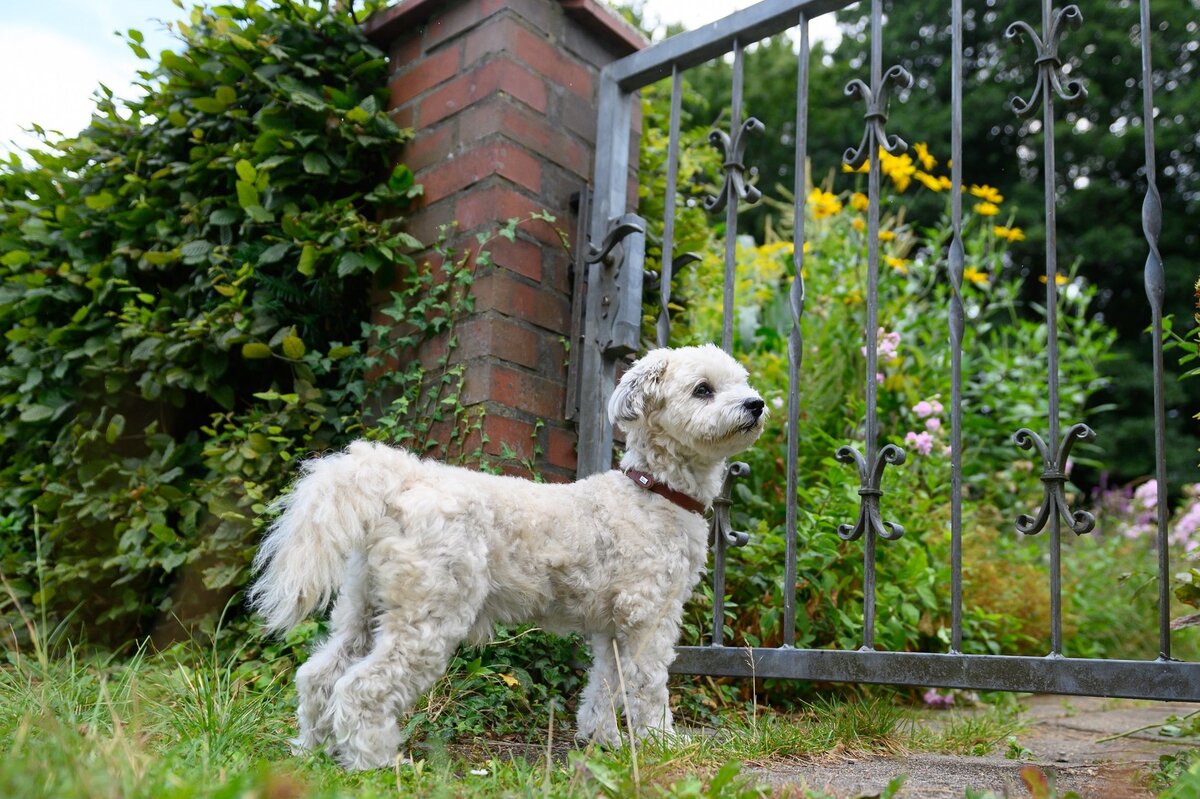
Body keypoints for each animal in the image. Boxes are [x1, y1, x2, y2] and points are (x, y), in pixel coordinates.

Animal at [248, 343, 763, 767]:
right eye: (703, 389)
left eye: (741, 382)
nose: (756, 404)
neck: (654, 492)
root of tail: (402, 480)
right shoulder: (648, 619)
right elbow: (648, 687)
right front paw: (662, 743)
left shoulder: (612, 629)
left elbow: (604, 685)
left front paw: (602, 741)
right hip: (430, 616)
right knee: (361, 688)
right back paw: (375, 763)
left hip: (363, 609)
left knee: (319, 676)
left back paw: (311, 750)